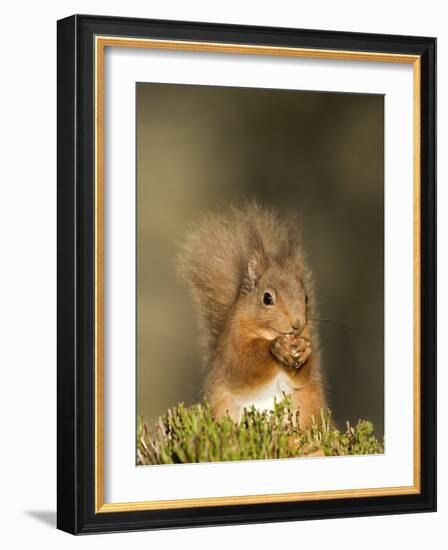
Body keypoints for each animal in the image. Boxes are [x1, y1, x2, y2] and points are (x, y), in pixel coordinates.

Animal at [177, 204, 328, 432]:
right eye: (267, 298)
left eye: (306, 297)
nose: (297, 324)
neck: (266, 332)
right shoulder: (232, 348)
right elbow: (245, 368)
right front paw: (275, 347)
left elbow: (302, 377)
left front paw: (303, 350)